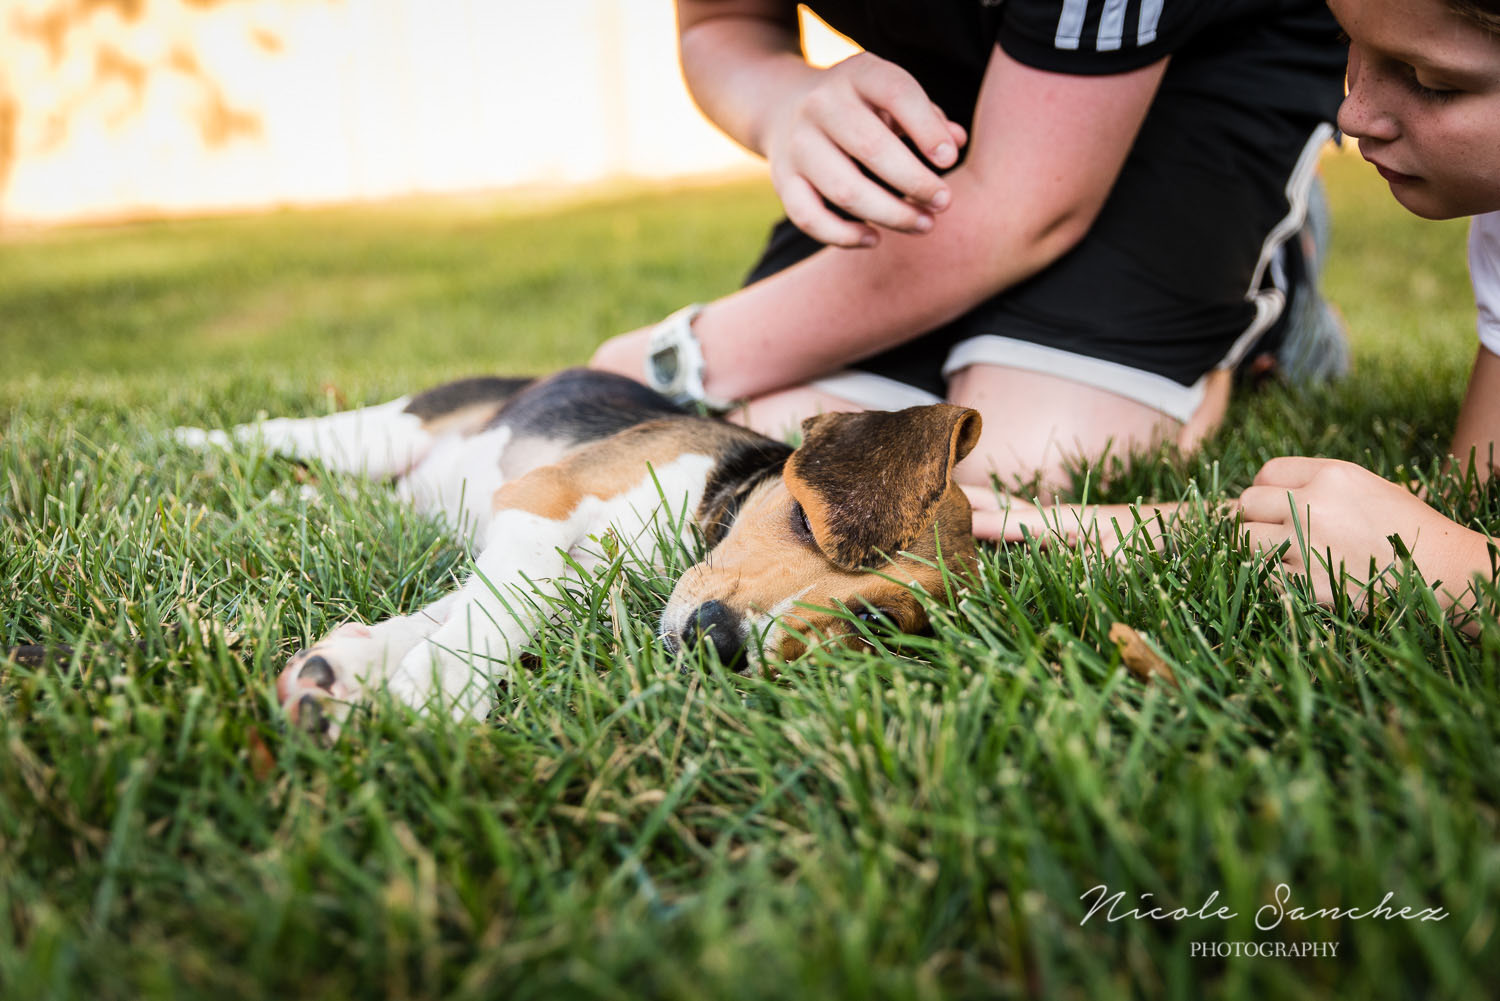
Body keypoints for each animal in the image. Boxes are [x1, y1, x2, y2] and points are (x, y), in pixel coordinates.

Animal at [181, 367, 978, 735]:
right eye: (807, 522)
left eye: (874, 624)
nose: (716, 639)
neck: (699, 521)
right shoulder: (543, 497)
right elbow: (506, 601)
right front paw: (441, 683)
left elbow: (472, 610)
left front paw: (350, 669)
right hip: (382, 435)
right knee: (278, 431)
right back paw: (187, 445)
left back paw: (297, 506)